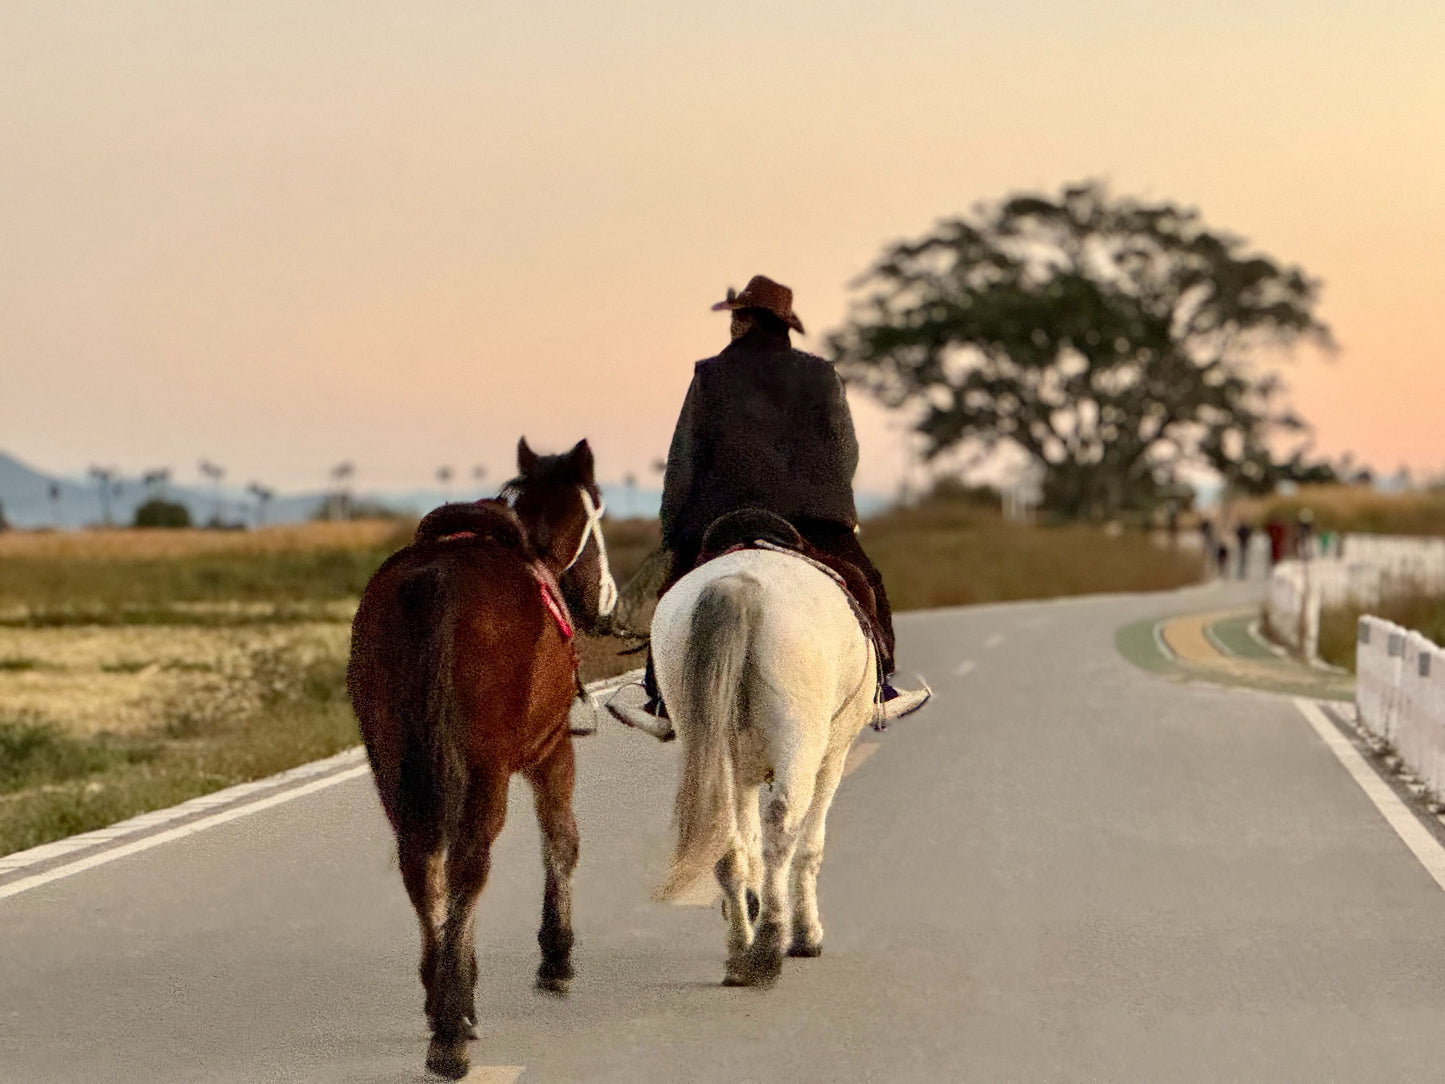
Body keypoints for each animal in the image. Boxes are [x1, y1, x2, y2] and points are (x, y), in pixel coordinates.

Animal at [352, 436, 618, 1081]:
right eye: (598, 508)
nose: (607, 599)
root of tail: (435, 583)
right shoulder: (553, 749)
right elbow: (562, 841)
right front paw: (556, 957)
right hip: (486, 763)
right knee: (469, 862)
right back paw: (453, 1022)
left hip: (392, 758)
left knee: (420, 860)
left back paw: (442, 999)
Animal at [650, 546, 872, 988]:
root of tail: (737, 583)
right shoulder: (833, 756)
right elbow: (809, 845)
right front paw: (806, 936)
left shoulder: (744, 771)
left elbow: (746, 839)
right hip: (800, 739)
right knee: (782, 829)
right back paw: (769, 945)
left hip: (707, 737)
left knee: (726, 836)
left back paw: (740, 953)